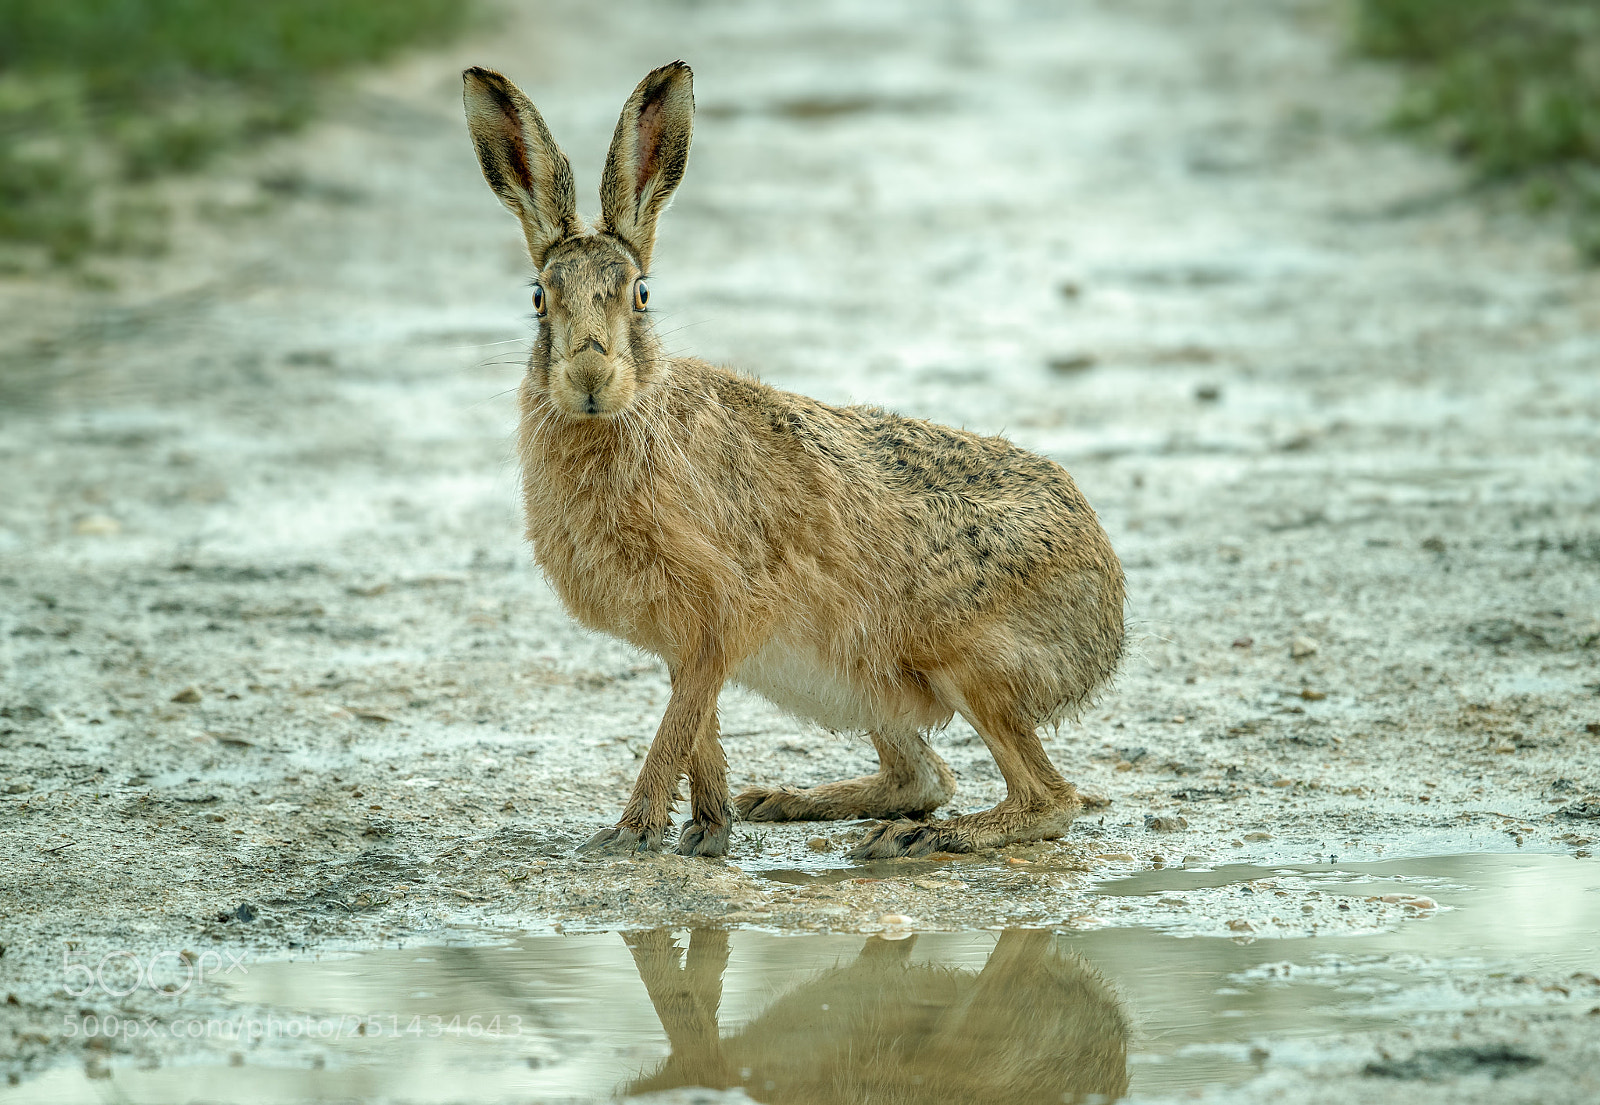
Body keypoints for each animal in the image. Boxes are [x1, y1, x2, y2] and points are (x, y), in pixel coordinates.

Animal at [462, 61, 1124, 860]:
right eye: (539, 298)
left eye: (641, 294)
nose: (590, 378)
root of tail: (1111, 618)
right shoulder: (685, 639)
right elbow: (696, 725)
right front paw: (709, 824)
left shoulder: (719, 614)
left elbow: (676, 725)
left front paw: (630, 832)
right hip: (877, 688)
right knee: (924, 776)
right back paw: (790, 802)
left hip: (968, 661)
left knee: (1044, 798)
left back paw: (924, 838)